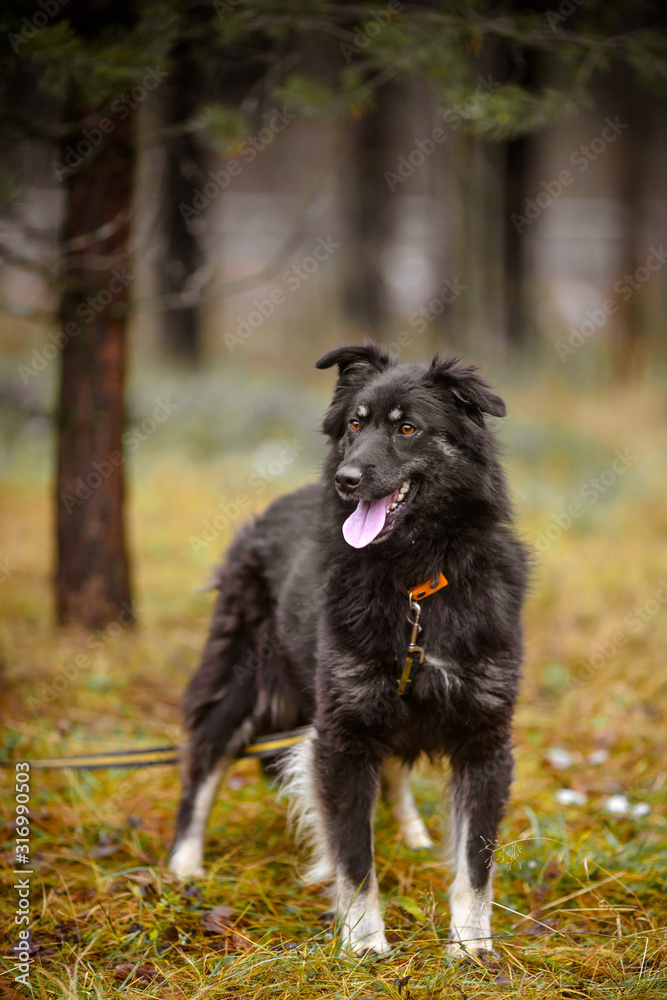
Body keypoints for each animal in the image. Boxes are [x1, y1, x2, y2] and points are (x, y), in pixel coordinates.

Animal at [171, 346, 528, 960]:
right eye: (356, 425)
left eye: (408, 428)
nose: (346, 480)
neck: (416, 582)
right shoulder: (343, 735)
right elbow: (355, 855)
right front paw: (364, 941)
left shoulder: (484, 737)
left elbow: (476, 862)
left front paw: (471, 945)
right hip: (243, 683)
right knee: (204, 759)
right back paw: (184, 864)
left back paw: (412, 831)